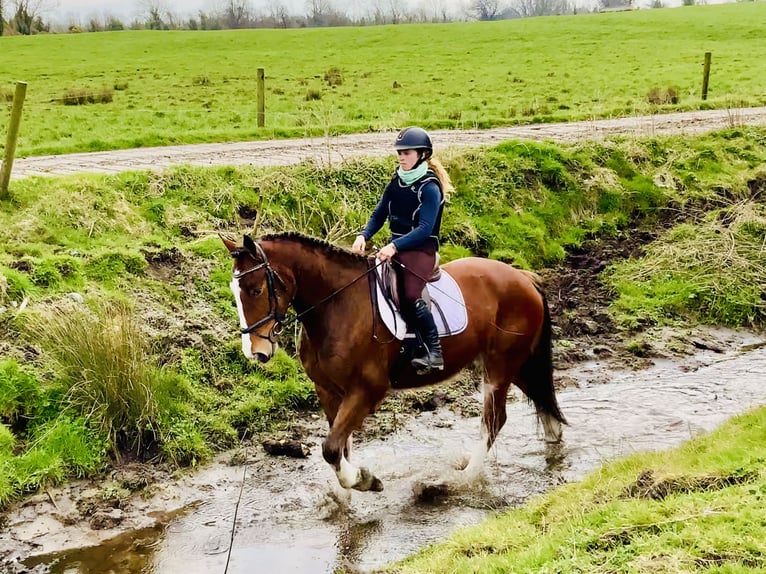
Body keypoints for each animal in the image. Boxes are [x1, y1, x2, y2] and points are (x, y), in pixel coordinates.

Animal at [222, 232, 564, 492]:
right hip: (515, 363)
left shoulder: (366, 390)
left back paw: (462, 478)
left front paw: (363, 481)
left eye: (255, 290)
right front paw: (343, 494)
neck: (336, 306)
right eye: (234, 291)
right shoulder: (328, 391)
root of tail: (522, 277)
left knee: (494, 419)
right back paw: (554, 443)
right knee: (539, 396)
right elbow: (339, 447)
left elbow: (331, 448)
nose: (255, 352)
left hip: (500, 365)